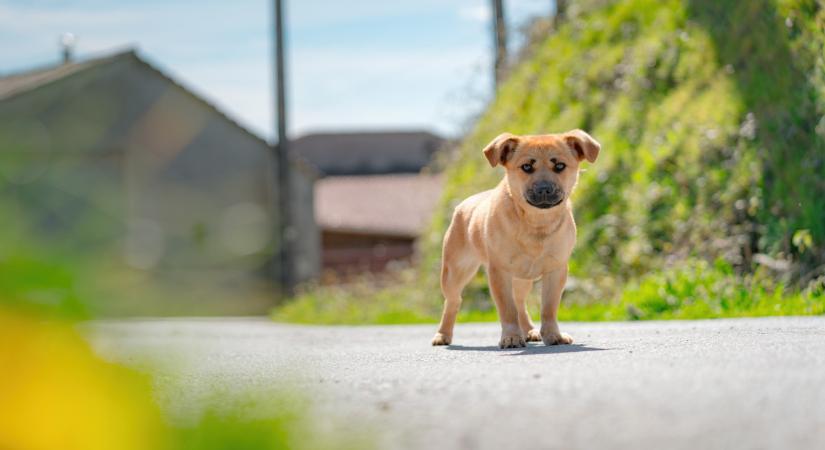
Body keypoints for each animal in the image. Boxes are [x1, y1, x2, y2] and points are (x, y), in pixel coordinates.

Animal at [432, 129, 600, 348]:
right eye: (527, 167)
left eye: (560, 166)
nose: (544, 188)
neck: (535, 223)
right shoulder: (499, 272)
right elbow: (507, 309)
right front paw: (511, 336)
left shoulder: (556, 270)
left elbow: (548, 307)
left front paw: (553, 334)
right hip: (455, 272)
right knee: (453, 301)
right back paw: (443, 334)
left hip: (522, 278)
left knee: (520, 302)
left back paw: (529, 330)